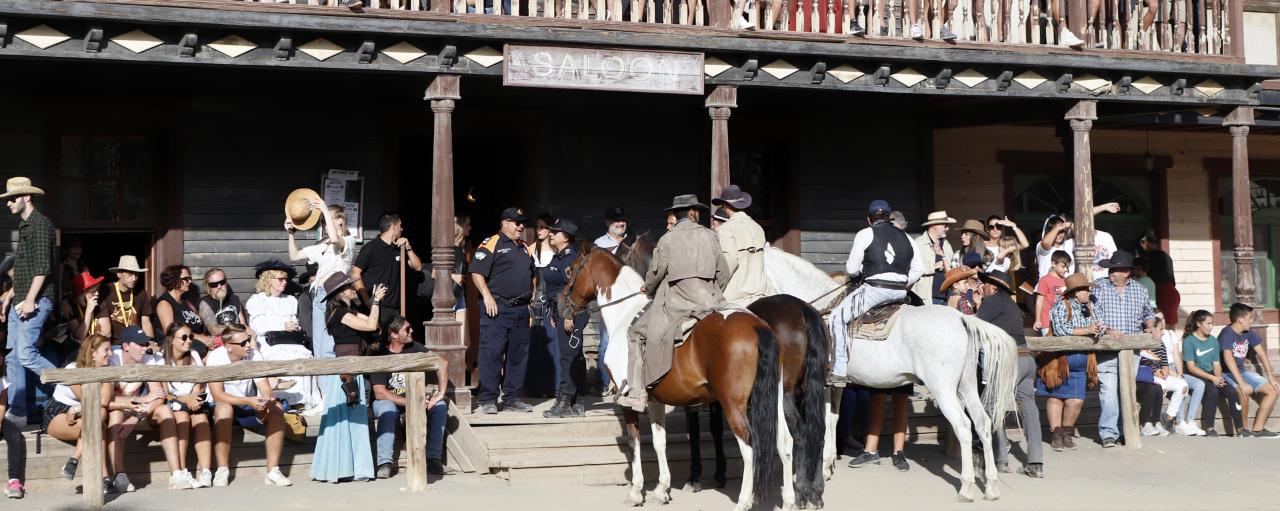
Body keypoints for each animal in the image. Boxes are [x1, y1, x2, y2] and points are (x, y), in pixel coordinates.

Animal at [565, 247, 783, 507]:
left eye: (570, 269)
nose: (562, 305)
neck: (626, 314)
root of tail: (756, 326)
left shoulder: (627, 399)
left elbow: (634, 440)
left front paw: (636, 491)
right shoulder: (655, 399)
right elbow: (660, 441)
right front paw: (662, 489)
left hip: (733, 405)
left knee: (749, 446)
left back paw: (743, 501)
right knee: (784, 441)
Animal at [762, 245, 1013, 502]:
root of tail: (962, 318)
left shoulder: (820, 384)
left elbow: (823, 422)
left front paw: (822, 468)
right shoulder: (835, 384)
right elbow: (833, 419)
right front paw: (828, 465)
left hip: (943, 390)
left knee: (963, 426)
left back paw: (966, 488)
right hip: (967, 386)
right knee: (983, 423)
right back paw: (991, 487)